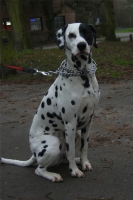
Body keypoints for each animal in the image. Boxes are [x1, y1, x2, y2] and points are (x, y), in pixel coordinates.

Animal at [0, 22, 100, 182]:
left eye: (87, 33)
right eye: (71, 35)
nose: (82, 45)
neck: (82, 75)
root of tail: (34, 154)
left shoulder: (88, 122)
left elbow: (84, 147)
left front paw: (84, 162)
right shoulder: (70, 123)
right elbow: (71, 151)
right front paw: (74, 171)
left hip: (75, 134)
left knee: (64, 157)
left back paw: (77, 161)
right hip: (53, 143)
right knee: (40, 169)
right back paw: (53, 175)